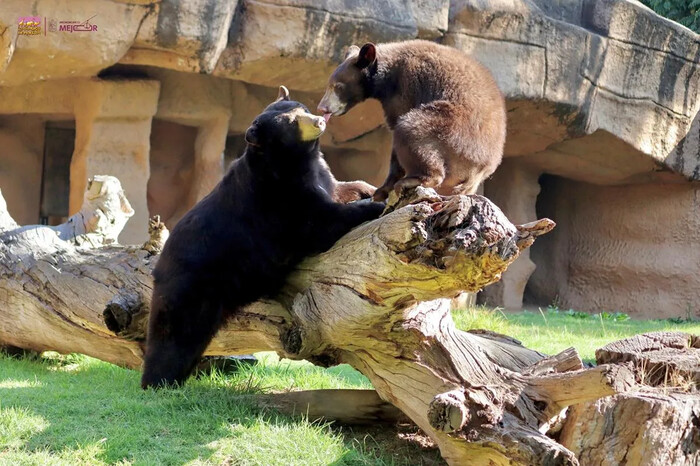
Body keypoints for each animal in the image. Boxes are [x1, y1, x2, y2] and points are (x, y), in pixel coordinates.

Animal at [318, 40, 508, 200]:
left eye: (338, 86)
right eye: (329, 85)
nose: (322, 107)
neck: (387, 77)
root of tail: (482, 169)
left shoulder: (407, 87)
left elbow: (397, 125)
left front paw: (383, 189)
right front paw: (380, 191)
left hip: (454, 132)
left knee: (412, 129)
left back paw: (413, 180)